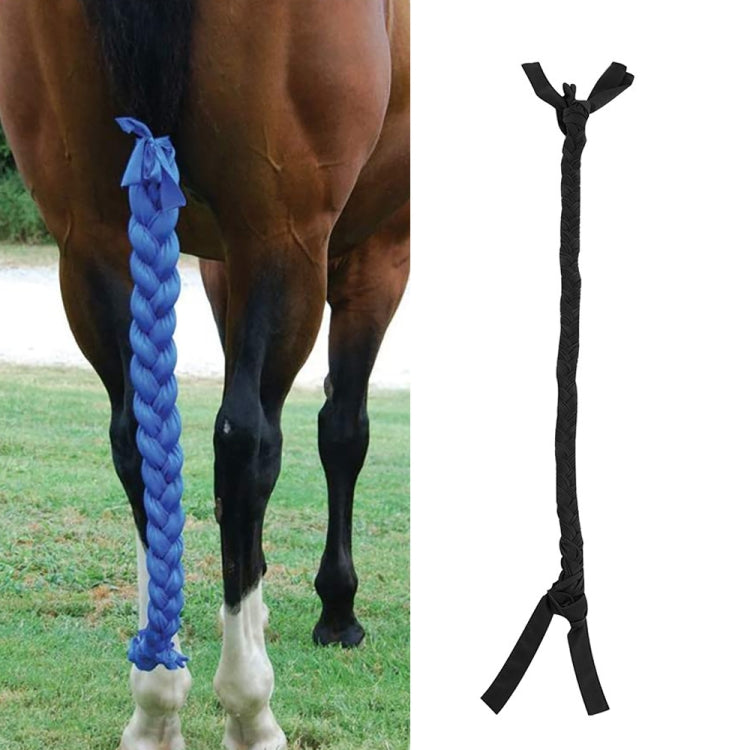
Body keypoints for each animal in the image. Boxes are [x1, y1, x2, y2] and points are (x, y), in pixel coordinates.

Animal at [0, 1, 409, 747]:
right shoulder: (382, 251)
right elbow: (343, 431)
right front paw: (337, 608)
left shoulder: (218, 264)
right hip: (283, 236)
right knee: (247, 443)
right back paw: (249, 705)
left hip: (91, 239)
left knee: (138, 442)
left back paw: (156, 701)